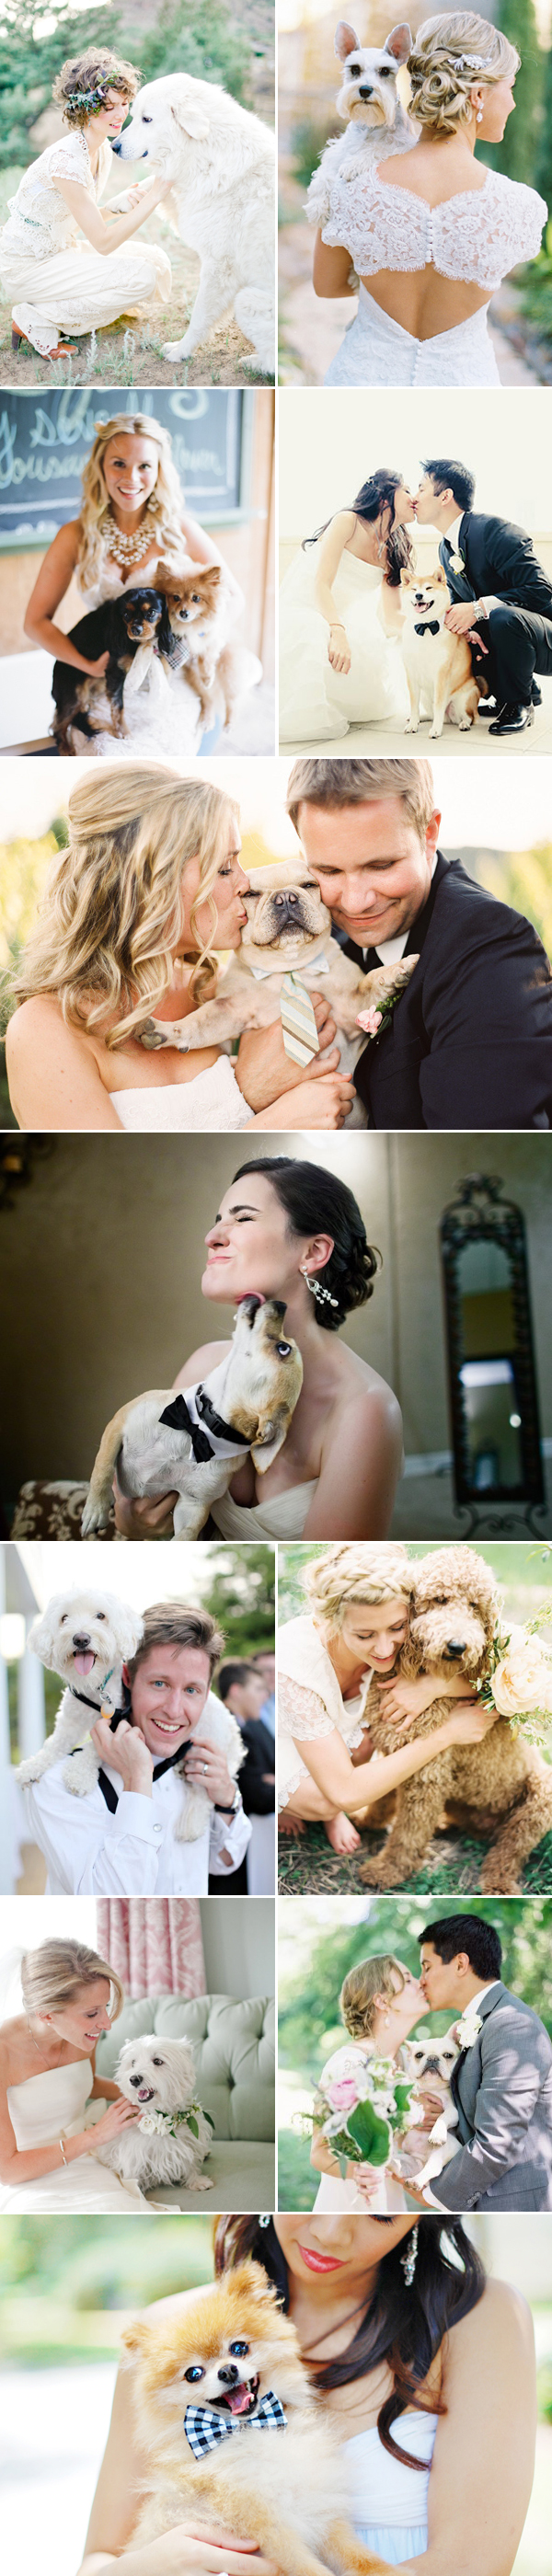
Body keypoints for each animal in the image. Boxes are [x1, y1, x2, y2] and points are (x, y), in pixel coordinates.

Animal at [93, 2030, 213, 2194]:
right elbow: (133, 2177)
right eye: (133, 2062)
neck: (160, 2117)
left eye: (157, 2061)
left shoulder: (188, 2142)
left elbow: (190, 2162)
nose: (134, 2079)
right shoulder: (133, 2155)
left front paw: (197, 2181)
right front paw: (136, 2195)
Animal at [121, 2267, 392, 2565]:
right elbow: (305, 2566)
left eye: (239, 2348)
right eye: (193, 2374)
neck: (252, 2430)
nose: (227, 2370)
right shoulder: (266, 2525)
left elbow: (361, 2558)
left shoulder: (320, 2506)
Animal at [358, 1535, 552, 1906]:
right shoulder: (394, 1754)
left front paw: (388, 1870)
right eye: (440, 1599)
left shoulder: (426, 1774)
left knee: (509, 1850)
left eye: (475, 1606)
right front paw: (369, 1820)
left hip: (540, 1798)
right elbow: (383, 1793)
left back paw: (498, 1885)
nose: (458, 1646)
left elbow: (407, 1832)